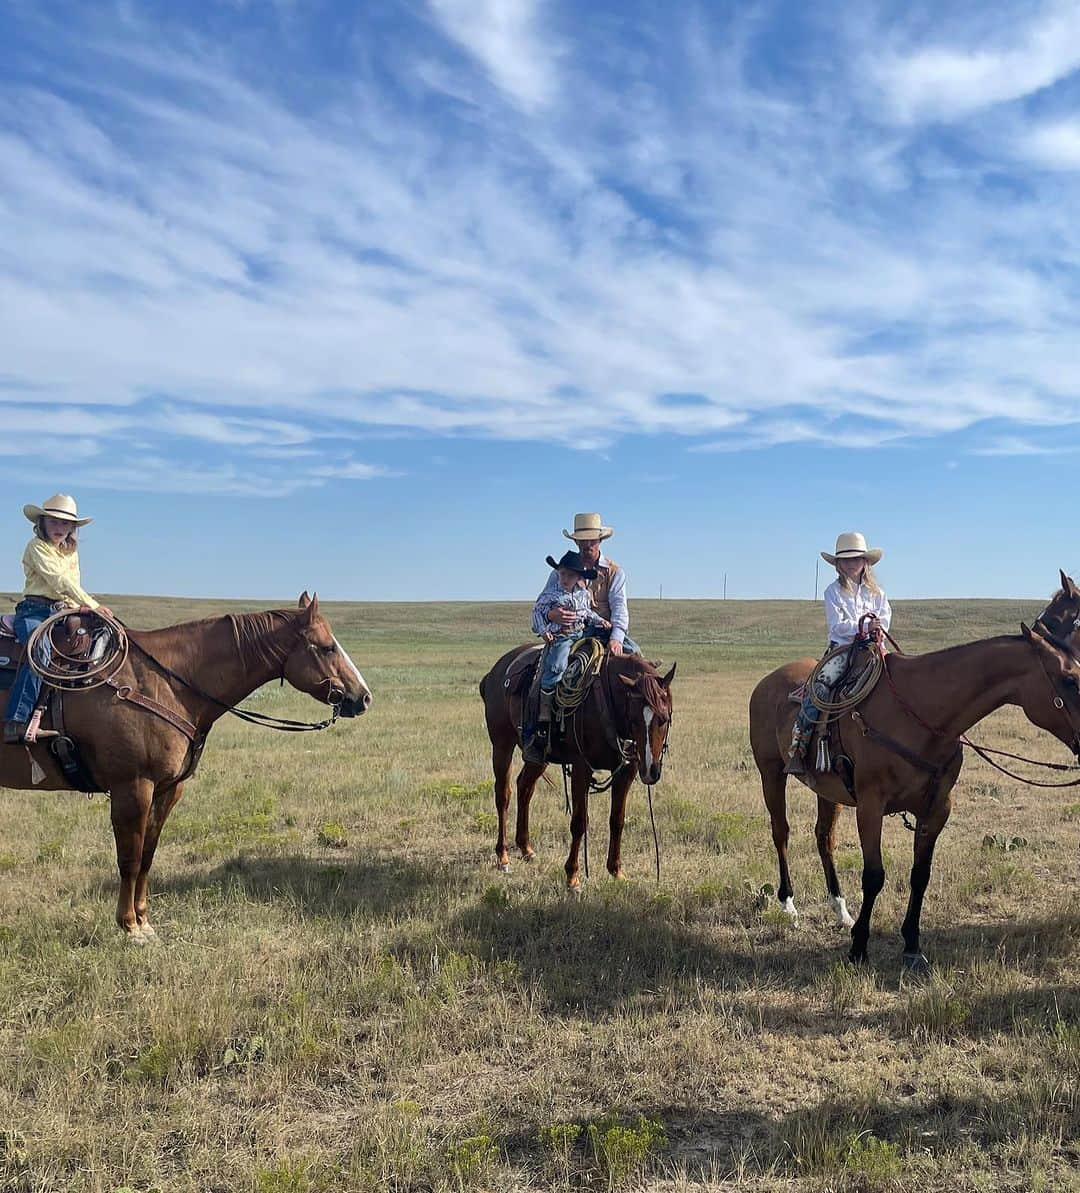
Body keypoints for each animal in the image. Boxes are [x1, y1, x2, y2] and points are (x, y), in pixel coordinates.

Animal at [0, 596, 369, 940]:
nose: (363, 697)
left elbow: (147, 856)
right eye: (327, 646)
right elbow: (129, 859)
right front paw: (129, 926)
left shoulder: (168, 789)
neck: (166, 685)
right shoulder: (132, 788)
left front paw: (144, 921)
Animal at [479, 648, 673, 892]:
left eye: (664, 719)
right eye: (635, 720)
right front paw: (572, 877)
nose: (651, 771)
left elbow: (617, 820)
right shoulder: (582, 768)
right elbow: (579, 822)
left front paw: (616, 871)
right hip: (502, 744)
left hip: (537, 756)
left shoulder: (626, 771)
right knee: (503, 795)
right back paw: (503, 857)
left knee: (524, 787)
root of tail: (495, 672)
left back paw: (526, 849)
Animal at [749, 572, 1080, 973]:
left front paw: (910, 944)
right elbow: (874, 876)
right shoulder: (871, 805)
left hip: (826, 789)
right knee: (780, 831)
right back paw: (789, 904)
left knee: (823, 837)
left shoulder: (937, 808)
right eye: (1069, 680)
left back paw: (840, 910)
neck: (921, 713)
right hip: (771, 772)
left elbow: (920, 875)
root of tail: (768, 681)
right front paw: (859, 946)